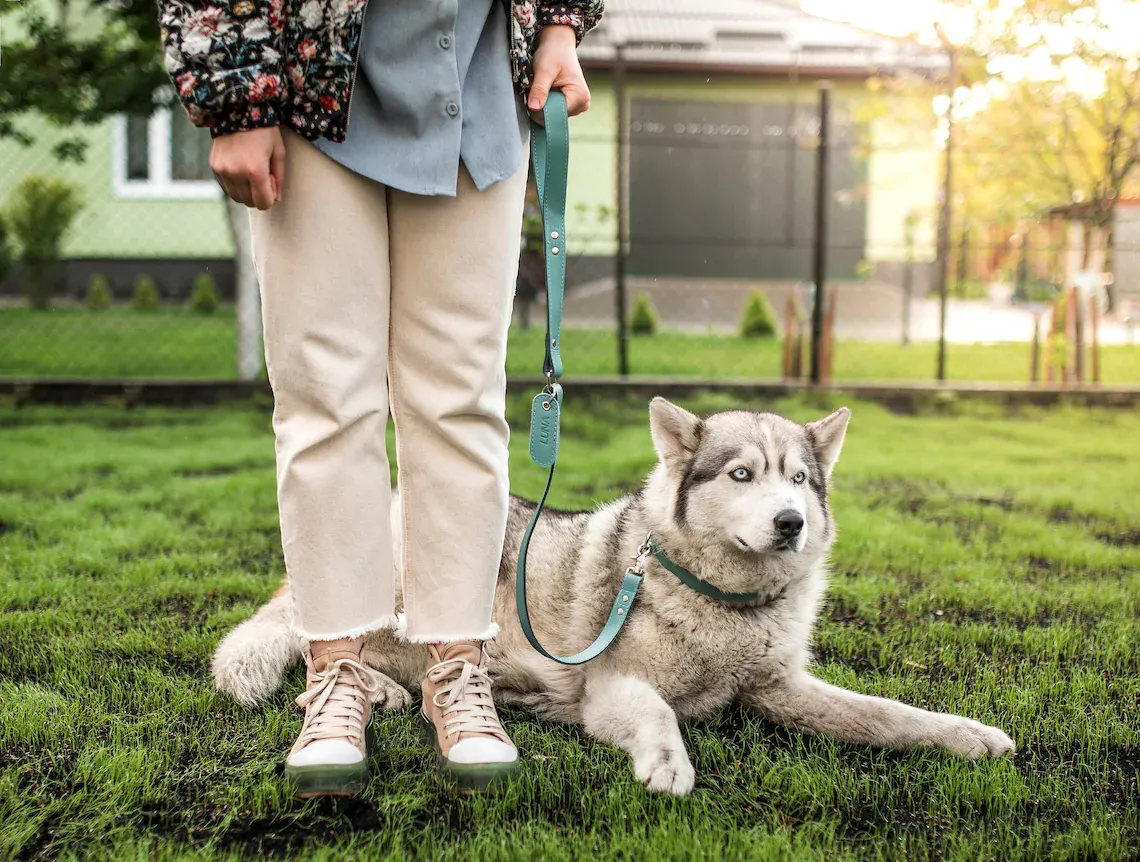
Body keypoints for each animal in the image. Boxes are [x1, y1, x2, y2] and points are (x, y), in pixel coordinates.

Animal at [214, 396, 1016, 793]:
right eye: (741, 475)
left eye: (798, 480)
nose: (791, 523)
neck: (720, 603)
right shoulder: (613, 687)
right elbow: (659, 715)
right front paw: (668, 762)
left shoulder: (778, 687)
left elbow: (886, 714)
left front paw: (962, 734)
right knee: (322, 647)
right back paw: (375, 691)